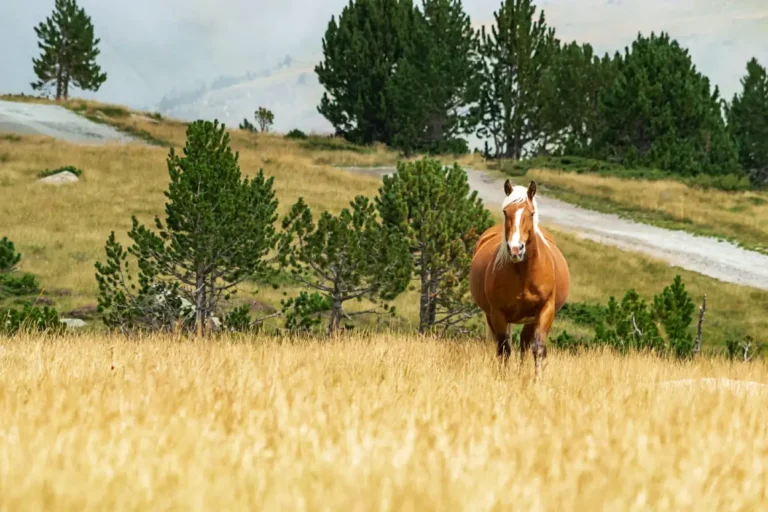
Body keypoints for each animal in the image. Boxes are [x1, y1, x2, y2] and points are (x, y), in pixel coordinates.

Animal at [469, 179, 570, 378]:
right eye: (505, 212)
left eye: (531, 213)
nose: (516, 249)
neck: (524, 274)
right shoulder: (498, 313)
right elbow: (504, 349)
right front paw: (503, 377)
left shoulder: (545, 310)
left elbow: (538, 348)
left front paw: (537, 380)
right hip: (492, 316)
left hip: (530, 320)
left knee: (524, 344)